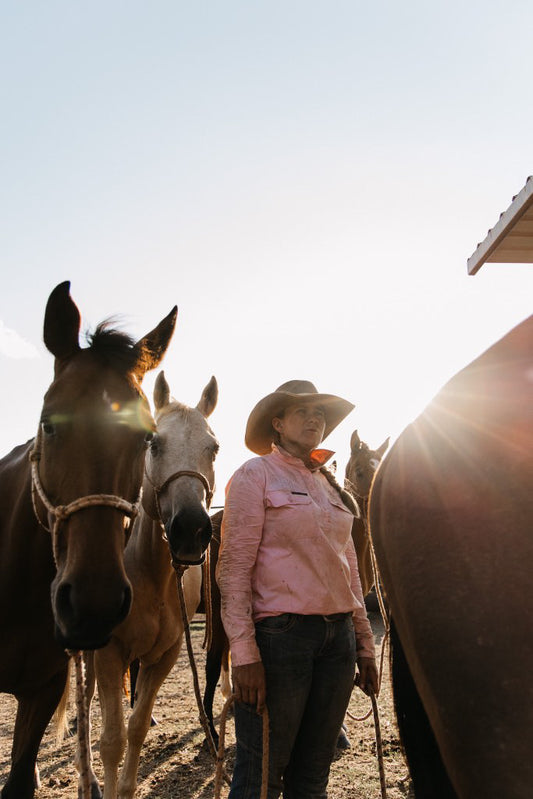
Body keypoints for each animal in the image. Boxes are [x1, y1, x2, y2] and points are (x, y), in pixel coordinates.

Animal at [89, 372, 218, 796]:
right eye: (154, 443)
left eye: (213, 448)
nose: (191, 529)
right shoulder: (107, 653)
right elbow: (112, 740)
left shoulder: (165, 655)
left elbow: (137, 728)